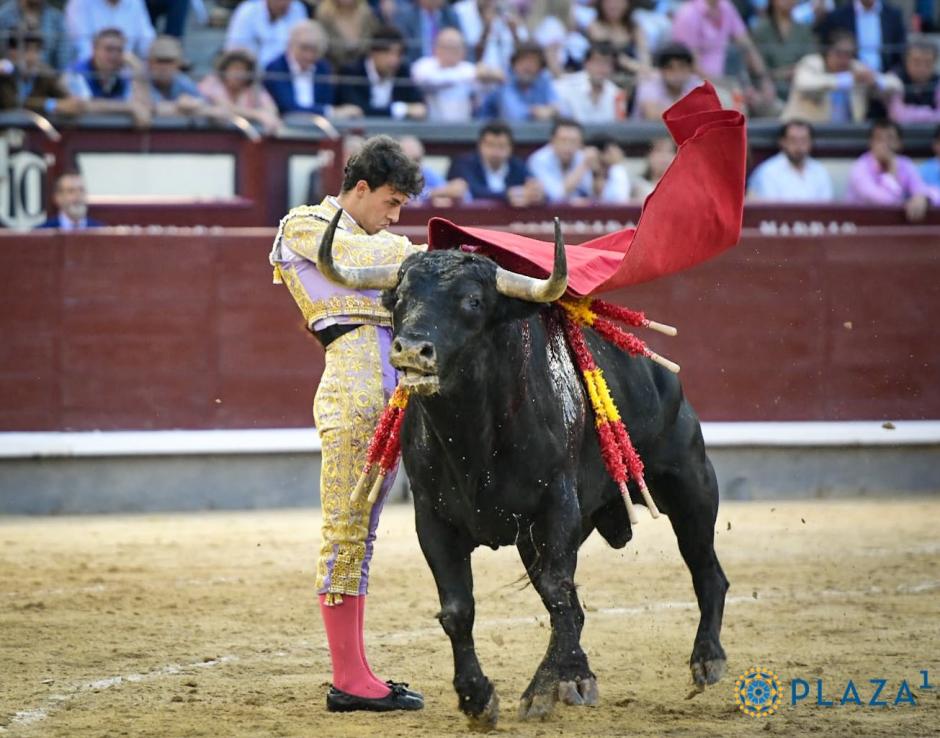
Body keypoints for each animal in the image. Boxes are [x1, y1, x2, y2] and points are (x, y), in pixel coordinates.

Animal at [320, 214, 732, 724]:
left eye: (473, 301)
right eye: (398, 299)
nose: (411, 350)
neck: (473, 437)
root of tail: (659, 371)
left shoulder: (556, 508)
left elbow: (558, 593)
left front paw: (544, 690)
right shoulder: (433, 520)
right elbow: (458, 608)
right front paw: (477, 697)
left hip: (690, 483)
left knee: (704, 568)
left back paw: (706, 660)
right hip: (538, 538)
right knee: (576, 603)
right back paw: (581, 675)